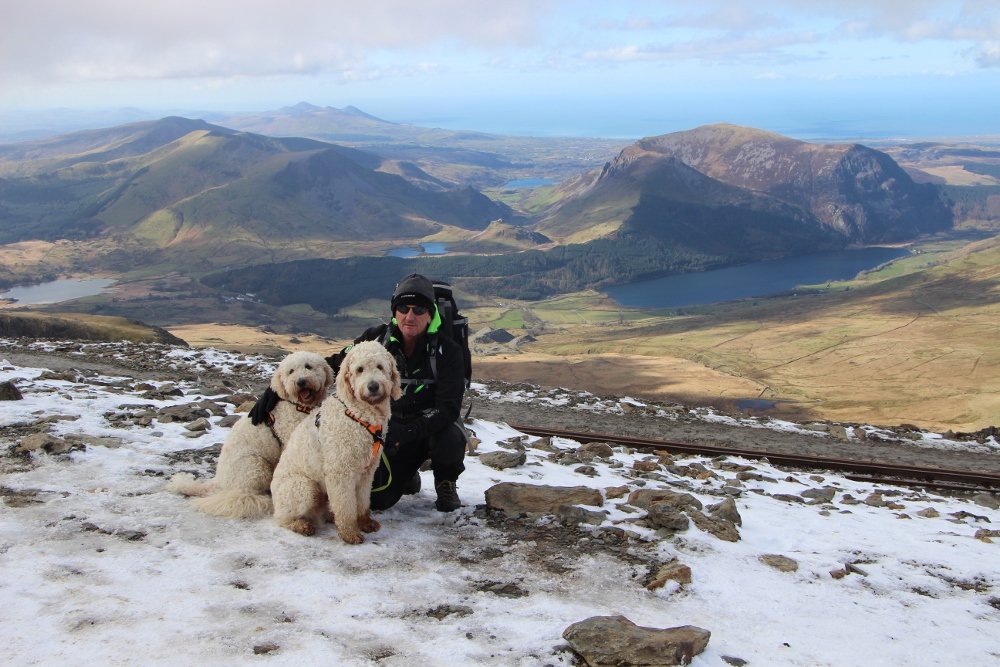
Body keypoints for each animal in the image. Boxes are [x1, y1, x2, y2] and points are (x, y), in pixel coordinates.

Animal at [166, 352, 334, 520]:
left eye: (308, 366)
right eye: (290, 371)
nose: (300, 382)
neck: (299, 406)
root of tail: (219, 480)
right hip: (257, 467)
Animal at [274, 342, 402, 544]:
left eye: (380, 367)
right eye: (359, 369)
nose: (373, 386)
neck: (359, 414)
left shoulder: (367, 472)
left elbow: (362, 501)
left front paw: (365, 522)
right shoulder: (340, 472)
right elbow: (345, 507)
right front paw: (349, 533)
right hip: (304, 488)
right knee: (281, 518)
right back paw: (301, 525)